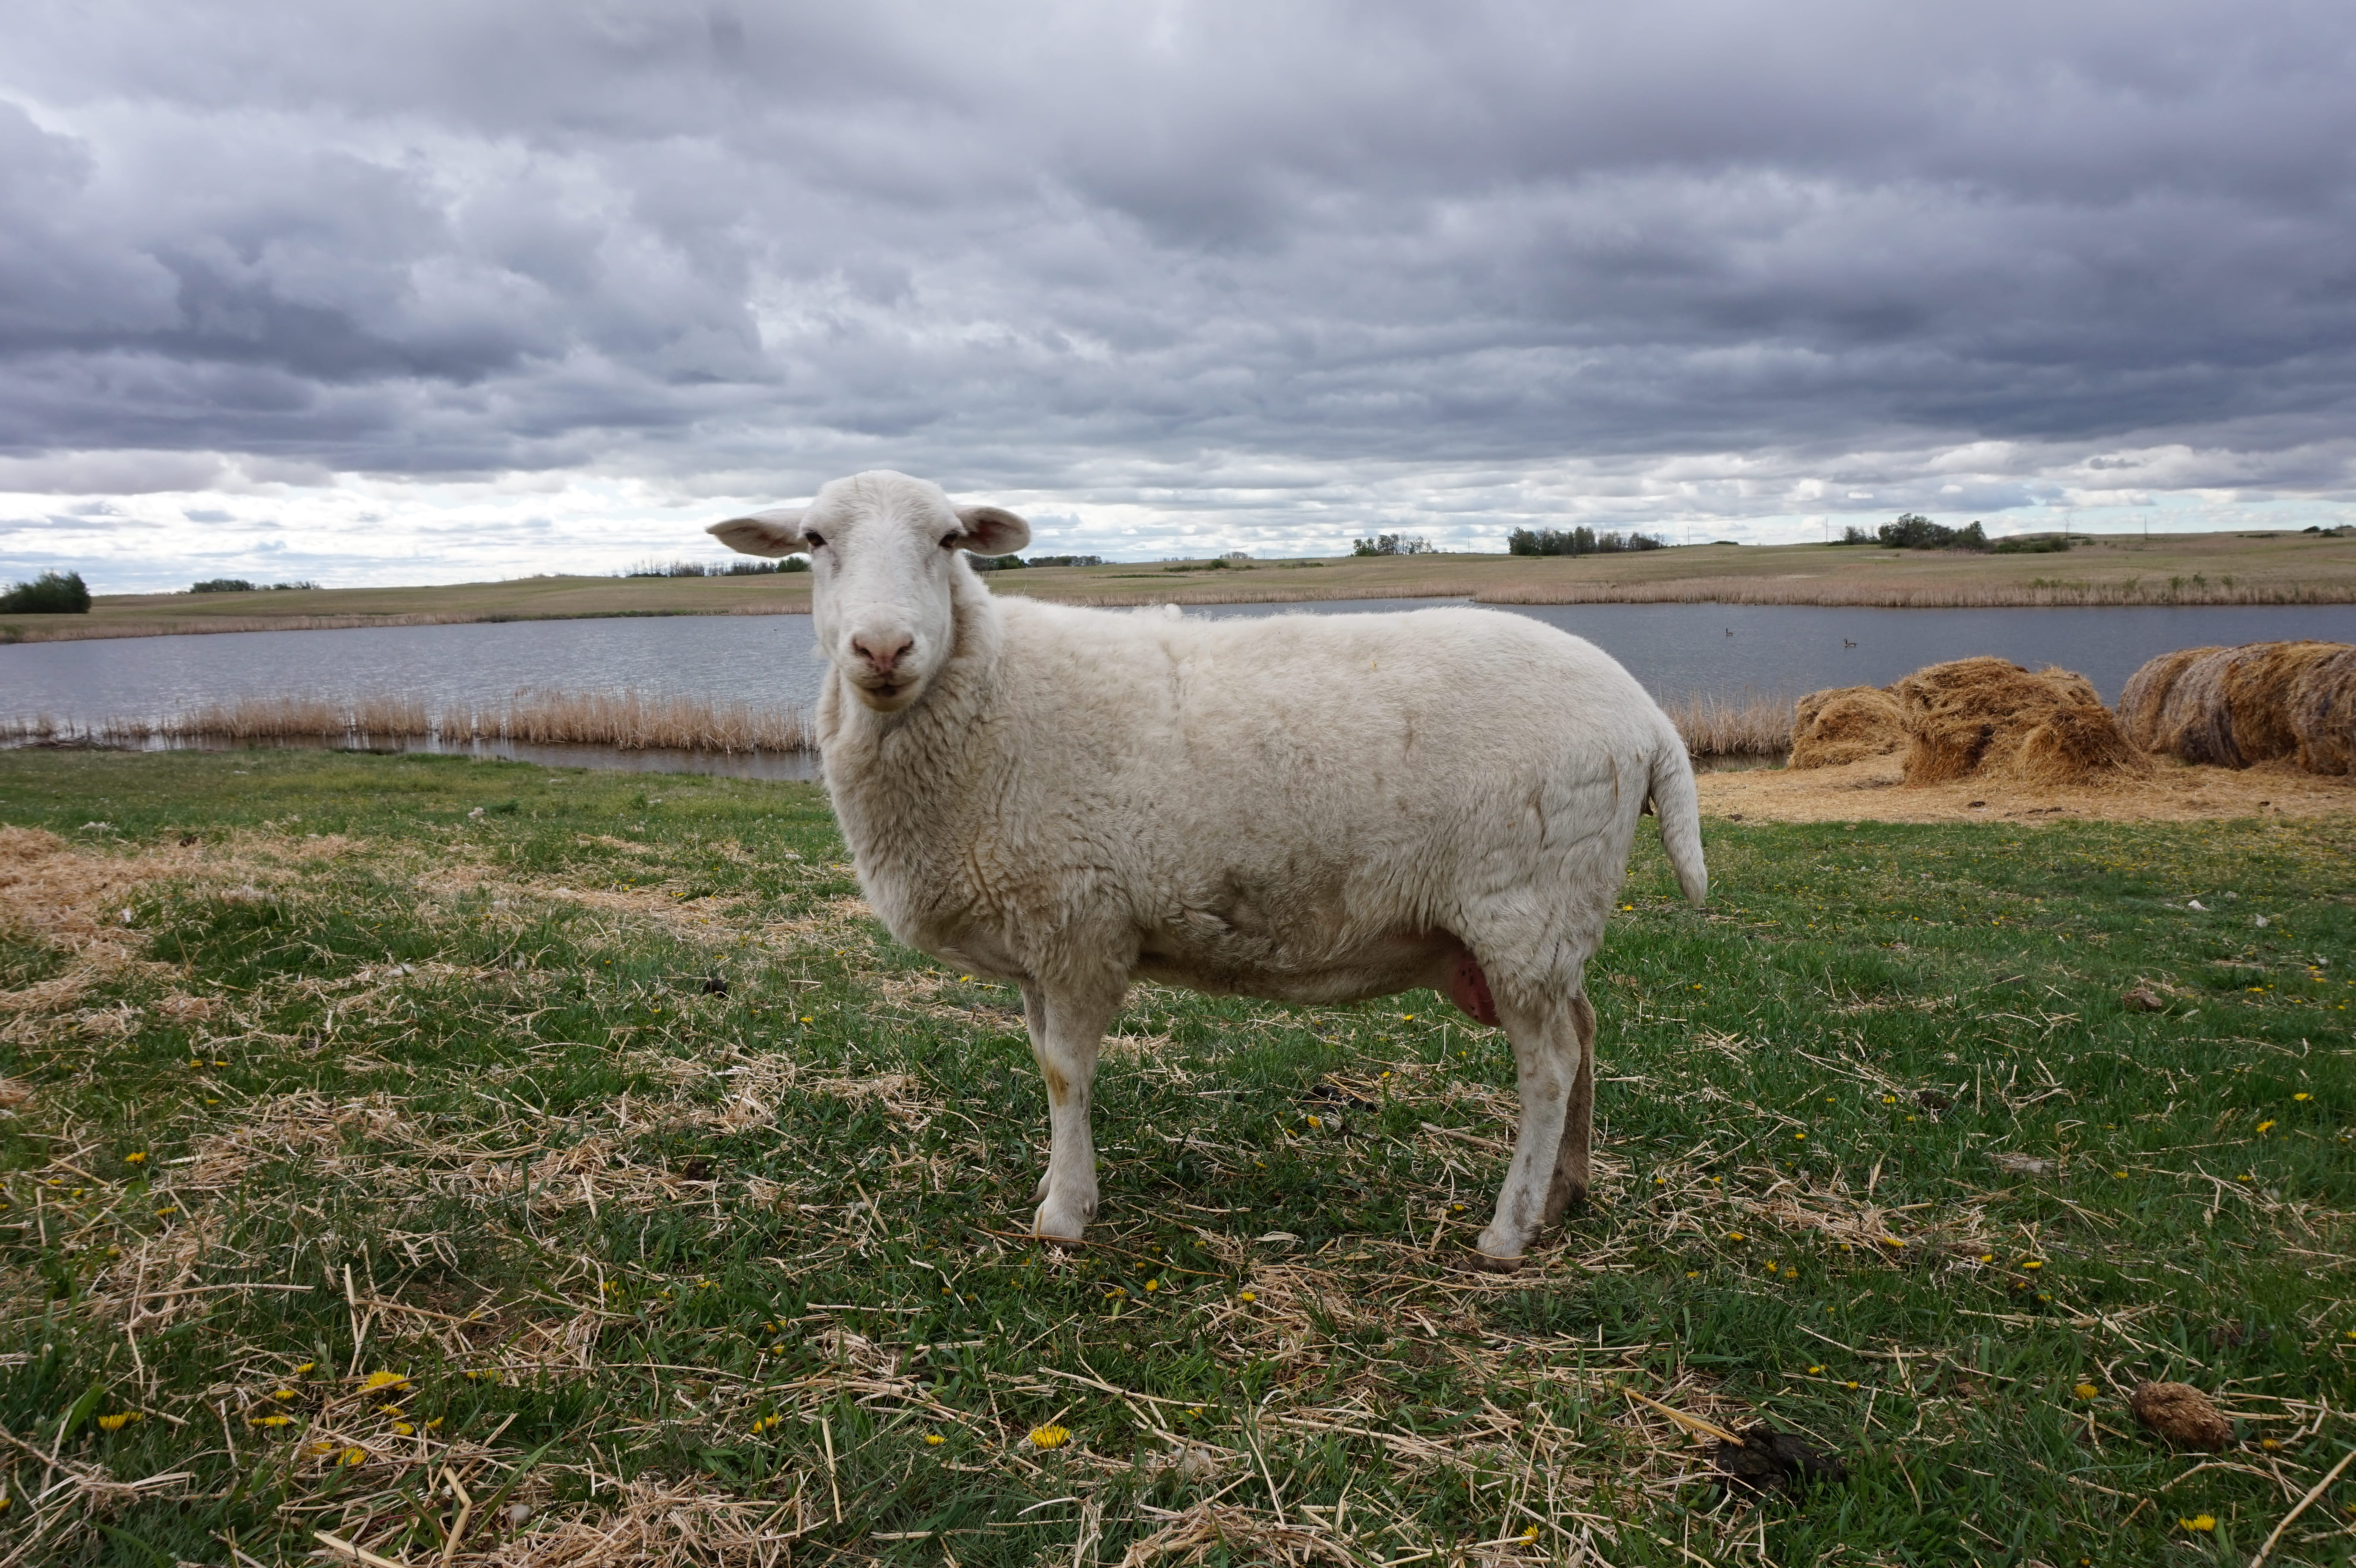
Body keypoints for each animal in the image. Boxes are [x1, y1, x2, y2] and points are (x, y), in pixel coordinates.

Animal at [711, 471, 1707, 1264]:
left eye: (950, 540)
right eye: (813, 542)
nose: (882, 649)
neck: (989, 690)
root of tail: (1649, 721)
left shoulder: (1082, 922)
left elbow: (1065, 1070)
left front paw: (1065, 1214)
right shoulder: (1039, 933)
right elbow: (1044, 1062)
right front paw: (1059, 1182)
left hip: (1523, 905)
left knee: (1546, 1066)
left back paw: (1507, 1230)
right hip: (1554, 919)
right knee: (1583, 1032)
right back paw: (1565, 1193)